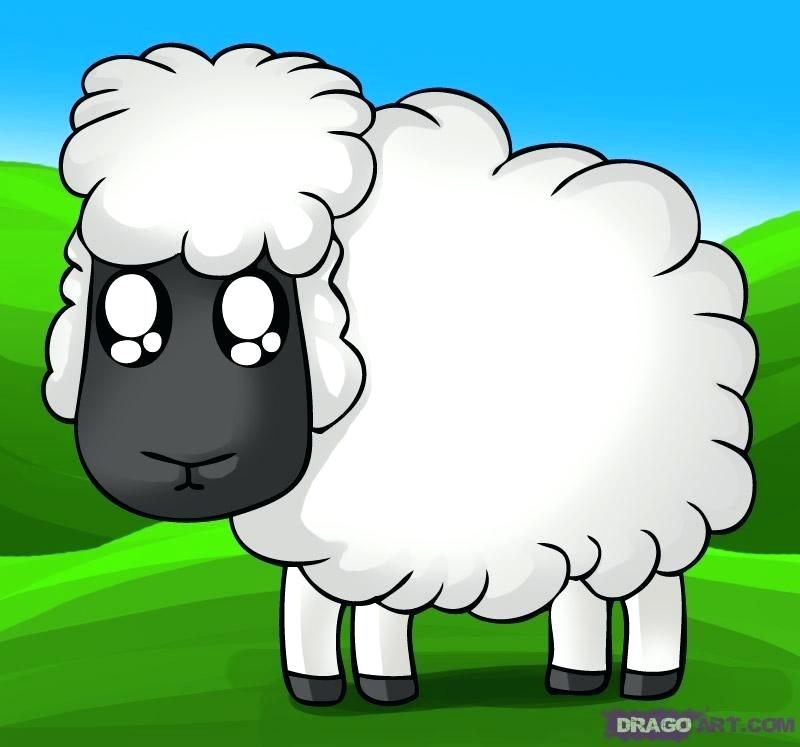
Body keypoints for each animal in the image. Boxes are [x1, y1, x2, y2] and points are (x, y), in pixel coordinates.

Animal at [44, 44, 756, 708]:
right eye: (121, 319)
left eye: (259, 322)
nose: (184, 460)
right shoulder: (319, 535)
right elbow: (307, 603)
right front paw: (315, 687)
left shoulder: (386, 530)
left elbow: (377, 615)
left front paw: (387, 687)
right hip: (586, 520)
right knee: (580, 591)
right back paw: (573, 679)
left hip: (657, 504)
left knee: (653, 593)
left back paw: (646, 681)